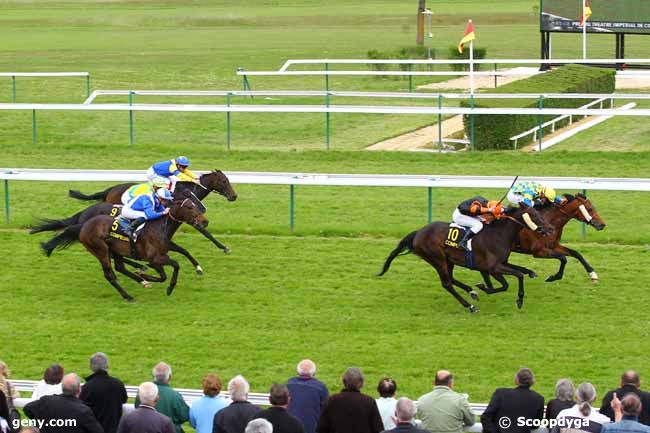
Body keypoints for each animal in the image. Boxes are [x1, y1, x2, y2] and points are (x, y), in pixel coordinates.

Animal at [40, 195, 206, 300]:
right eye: (190, 208)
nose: (205, 221)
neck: (160, 227)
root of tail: (83, 225)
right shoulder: (155, 258)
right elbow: (174, 266)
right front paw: (169, 288)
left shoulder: (160, 255)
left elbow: (178, 258)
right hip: (100, 250)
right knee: (110, 274)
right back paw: (128, 296)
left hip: (115, 250)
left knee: (120, 267)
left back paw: (142, 281)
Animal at [378, 207, 548, 312]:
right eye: (534, 215)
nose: (549, 229)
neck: (499, 234)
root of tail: (418, 232)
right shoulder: (493, 267)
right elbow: (512, 279)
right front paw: (518, 300)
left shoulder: (501, 263)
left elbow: (520, 271)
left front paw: (531, 273)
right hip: (437, 258)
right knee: (447, 283)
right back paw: (470, 306)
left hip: (448, 260)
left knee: (451, 278)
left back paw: (471, 291)